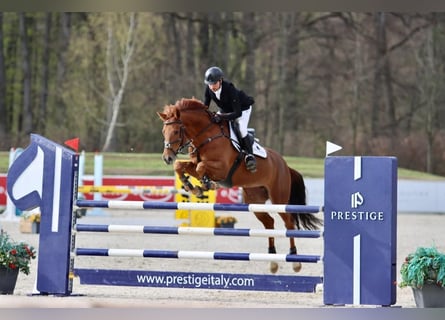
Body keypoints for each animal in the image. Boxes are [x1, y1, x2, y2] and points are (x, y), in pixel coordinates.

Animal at [158, 97, 320, 272]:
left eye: (176, 131)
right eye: (163, 131)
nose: (167, 158)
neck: (206, 136)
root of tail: (285, 165)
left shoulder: (221, 168)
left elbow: (201, 168)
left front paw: (206, 185)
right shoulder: (194, 163)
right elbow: (180, 166)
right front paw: (191, 186)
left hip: (278, 199)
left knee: (289, 222)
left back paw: (295, 261)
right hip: (255, 200)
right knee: (269, 222)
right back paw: (273, 261)